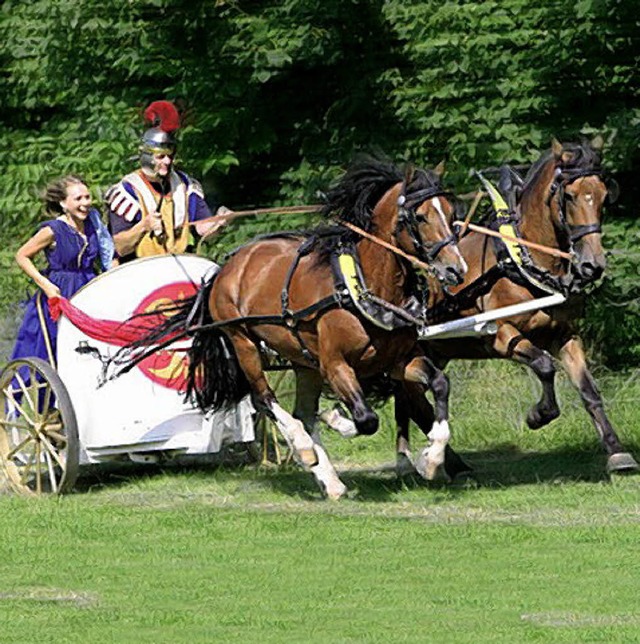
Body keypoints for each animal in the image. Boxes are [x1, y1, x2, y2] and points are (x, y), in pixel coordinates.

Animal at [112, 157, 468, 498]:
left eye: (452, 213)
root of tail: (228, 267)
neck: (365, 286)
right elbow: (366, 420)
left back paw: (331, 481)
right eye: (420, 217)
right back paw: (304, 448)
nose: (456, 269)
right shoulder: (335, 365)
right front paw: (336, 419)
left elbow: (439, 384)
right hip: (244, 343)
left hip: (302, 360)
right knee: (265, 399)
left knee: (302, 410)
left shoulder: (396, 360)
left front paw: (430, 459)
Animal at [390, 136, 640, 476]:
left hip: (434, 351)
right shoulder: (499, 335)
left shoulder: (566, 335)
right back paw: (426, 460)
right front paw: (538, 415)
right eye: (570, 196)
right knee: (412, 400)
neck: (523, 259)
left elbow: (589, 391)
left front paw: (617, 452)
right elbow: (545, 366)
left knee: (412, 398)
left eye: (603, 195)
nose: (592, 265)